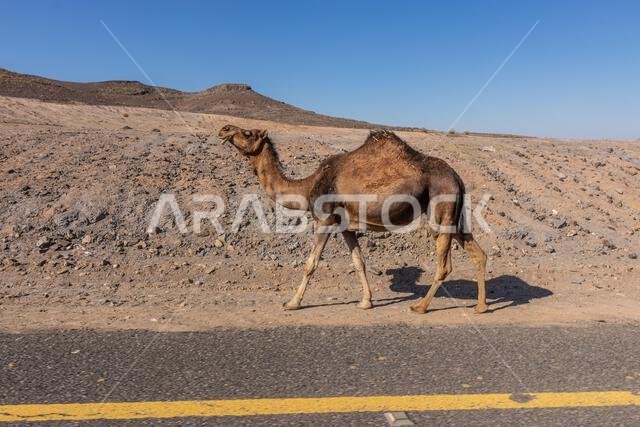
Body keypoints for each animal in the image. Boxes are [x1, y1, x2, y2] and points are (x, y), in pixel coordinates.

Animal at [217, 125, 488, 314]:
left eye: (247, 132)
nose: (224, 129)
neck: (308, 186)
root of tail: (457, 177)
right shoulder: (345, 226)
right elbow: (359, 262)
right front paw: (366, 302)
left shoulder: (325, 219)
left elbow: (310, 264)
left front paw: (292, 302)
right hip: (456, 214)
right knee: (477, 253)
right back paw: (480, 307)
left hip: (440, 208)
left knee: (444, 264)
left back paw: (420, 307)